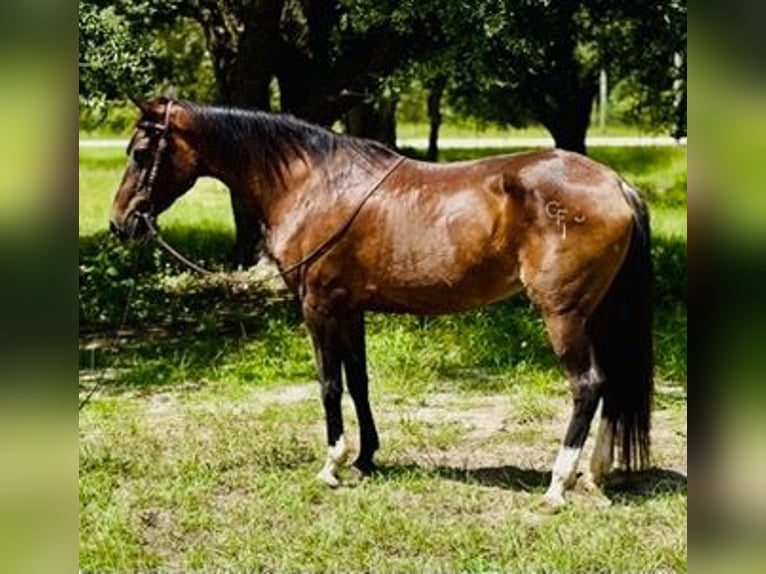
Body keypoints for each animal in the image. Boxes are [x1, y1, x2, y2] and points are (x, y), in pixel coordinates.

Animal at [109, 97, 653, 508]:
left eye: (141, 152)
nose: (120, 224)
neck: (312, 184)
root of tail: (616, 185)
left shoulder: (318, 307)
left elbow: (329, 385)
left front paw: (331, 465)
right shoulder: (350, 309)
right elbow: (359, 382)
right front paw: (366, 458)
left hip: (563, 315)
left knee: (587, 385)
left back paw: (558, 485)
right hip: (598, 313)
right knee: (612, 382)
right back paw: (595, 475)